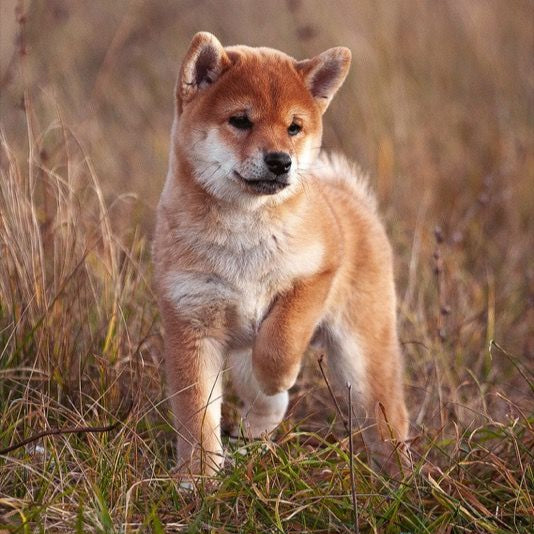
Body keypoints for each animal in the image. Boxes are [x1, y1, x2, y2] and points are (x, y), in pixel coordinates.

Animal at [154, 31, 410, 480]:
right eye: (241, 120)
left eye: (294, 127)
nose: (280, 161)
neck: (243, 233)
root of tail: (350, 199)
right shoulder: (191, 321)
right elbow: (196, 415)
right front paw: (197, 478)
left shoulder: (315, 276)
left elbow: (280, 341)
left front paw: (278, 375)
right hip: (239, 356)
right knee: (269, 405)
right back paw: (251, 441)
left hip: (363, 359)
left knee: (388, 420)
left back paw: (403, 479)